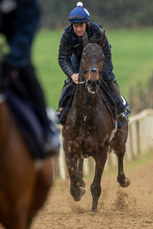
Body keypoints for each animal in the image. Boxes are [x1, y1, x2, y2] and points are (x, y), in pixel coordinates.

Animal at [62, 35, 130, 212]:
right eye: (84, 57)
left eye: (101, 57)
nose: (93, 83)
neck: (85, 115)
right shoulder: (69, 146)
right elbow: (73, 183)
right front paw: (79, 188)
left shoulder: (102, 151)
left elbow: (96, 187)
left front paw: (93, 211)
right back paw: (81, 180)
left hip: (120, 137)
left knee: (121, 153)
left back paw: (123, 179)